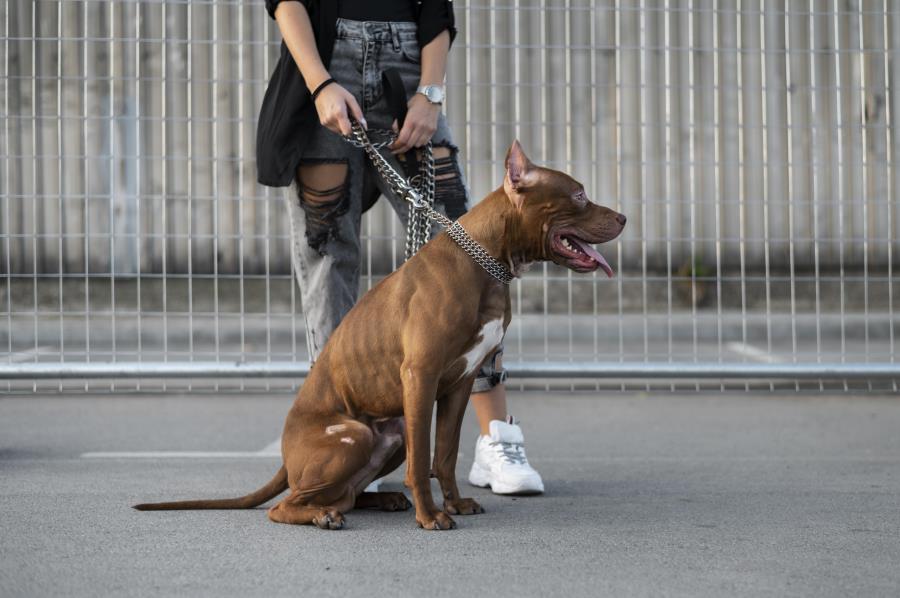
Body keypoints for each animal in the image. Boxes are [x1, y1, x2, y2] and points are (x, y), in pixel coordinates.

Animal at [135, 142, 624, 536]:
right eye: (579, 195)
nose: (623, 217)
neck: (485, 261)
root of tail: (285, 459)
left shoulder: (461, 382)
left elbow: (445, 453)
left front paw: (453, 504)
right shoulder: (420, 377)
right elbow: (423, 461)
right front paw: (431, 517)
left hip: (391, 432)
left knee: (345, 494)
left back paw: (378, 500)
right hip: (353, 435)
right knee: (288, 504)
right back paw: (323, 516)